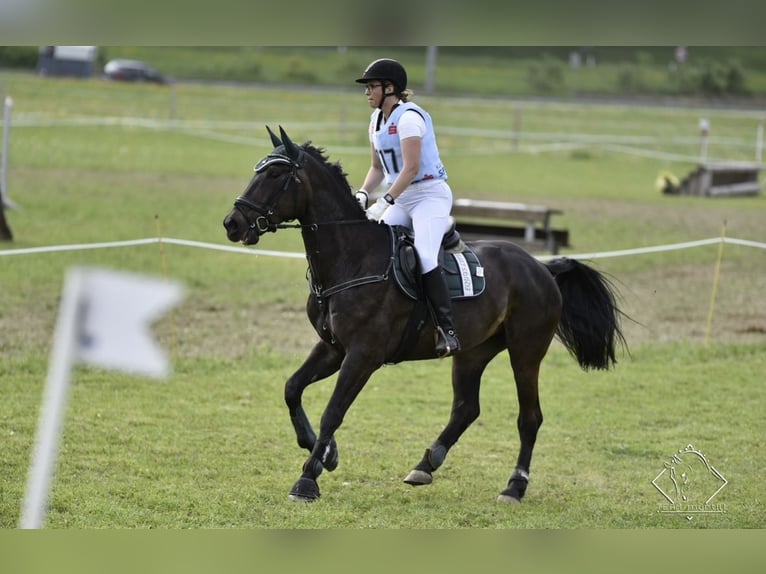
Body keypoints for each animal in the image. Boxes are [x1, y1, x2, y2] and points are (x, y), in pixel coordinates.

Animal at [224, 125, 632, 504]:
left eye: (275, 175)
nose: (233, 223)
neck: (351, 259)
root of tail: (542, 268)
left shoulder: (363, 355)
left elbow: (333, 411)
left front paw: (308, 479)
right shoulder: (333, 347)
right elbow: (292, 389)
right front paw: (326, 453)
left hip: (526, 353)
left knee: (529, 417)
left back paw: (514, 486)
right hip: (472, 352)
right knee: (466, 408)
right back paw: (425, 465)